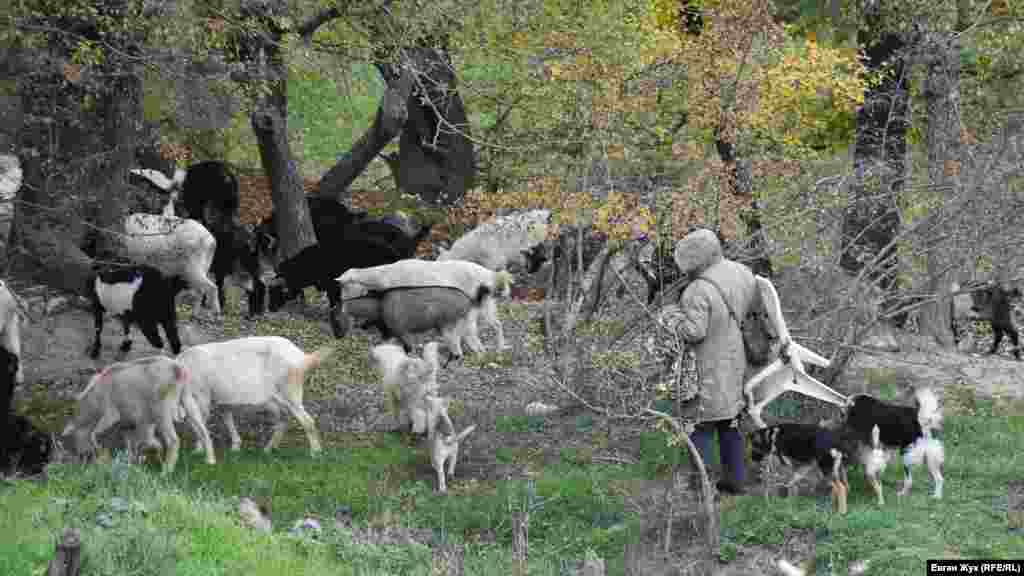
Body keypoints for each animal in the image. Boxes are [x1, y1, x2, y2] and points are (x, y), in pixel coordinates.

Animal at [62, 356, 216, 473]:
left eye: (74, 437)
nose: (82, 456)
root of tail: (177, 369)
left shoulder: (111, 414)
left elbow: (95, 433)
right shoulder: (130, 422)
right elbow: (132, 442)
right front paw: (133, 462)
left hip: (162, 409)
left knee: (173, 440)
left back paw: (167, 470)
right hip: (188, 398)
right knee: (203, 431)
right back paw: (210, 461)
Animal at [176, 334, 333, 455]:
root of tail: (302, 358)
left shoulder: (201, 395)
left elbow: (201, 421)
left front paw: (197, 449)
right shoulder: (221, 398)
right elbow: (226, 417)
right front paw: (235, 446)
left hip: (290, 392)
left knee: (307, 420)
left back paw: (315, 452)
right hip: (275, 399)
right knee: (284, 418)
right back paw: (268, 449)